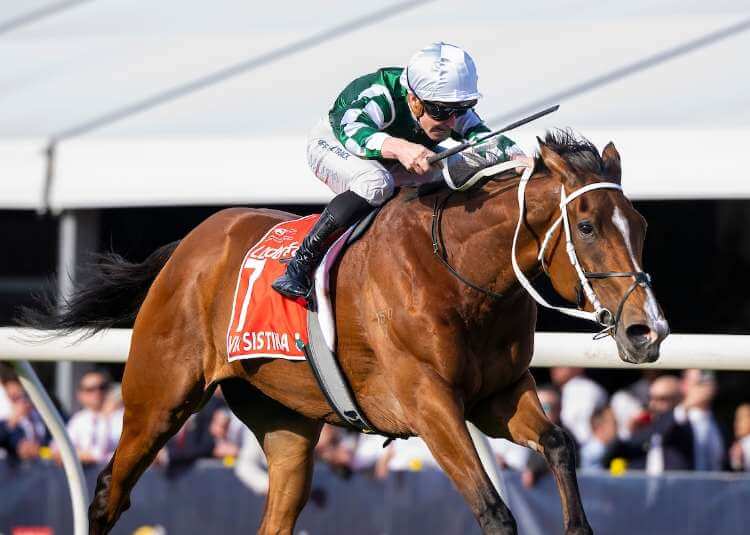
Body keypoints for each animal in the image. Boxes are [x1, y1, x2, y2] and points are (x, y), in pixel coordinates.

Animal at [25, 131, 668, 535]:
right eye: (586, 225)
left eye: (640, 223)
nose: (648, 330)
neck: (460, 272)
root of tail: (188, 246)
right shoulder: (428, 402)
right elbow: (493, 509)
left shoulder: (498, 395)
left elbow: (558, 444)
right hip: (158, 398)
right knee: (108, 492)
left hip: (285, 425)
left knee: (275, 518)